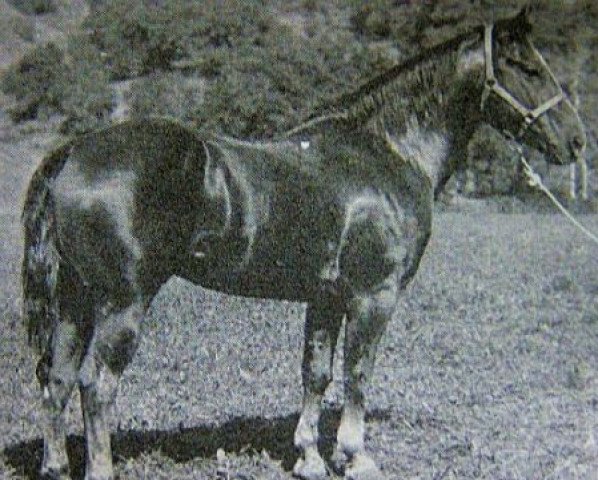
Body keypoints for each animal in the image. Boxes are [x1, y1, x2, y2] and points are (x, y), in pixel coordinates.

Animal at [22, 7, 584, 480]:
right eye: (526, 67)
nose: (576, 141)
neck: (388, 151)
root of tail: (76, 151)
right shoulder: (373, 296)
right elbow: (357, 373)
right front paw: (355, 457)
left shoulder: (326, 297)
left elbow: (316, 374)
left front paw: (310, 457)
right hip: (123, 303)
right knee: (95, 385)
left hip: (75, 300)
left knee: (57, 378)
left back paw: (54, 466)